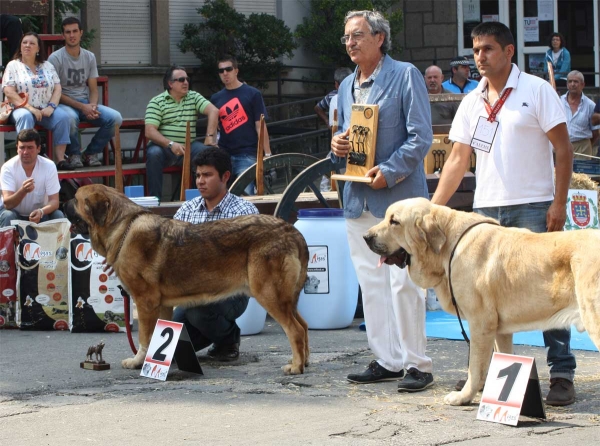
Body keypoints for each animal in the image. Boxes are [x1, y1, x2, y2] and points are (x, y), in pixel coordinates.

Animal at [65, 183, 310, 374]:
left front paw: (138, 361)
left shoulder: (145, 302)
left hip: (269, 294)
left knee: (295, 330)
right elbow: (156, 334)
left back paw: (296, 367)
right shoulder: (161, 305)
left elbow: (145, 337)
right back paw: (303, 361)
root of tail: (291, 231)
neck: (123, 226)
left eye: (75, 199)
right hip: (287, 299)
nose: (62, 202)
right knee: (304, 326)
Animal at [360, 197, 600, 406]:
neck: (449, 245)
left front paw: (463, 396)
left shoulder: (480, 324)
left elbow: (475, 367)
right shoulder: (500, 330)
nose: (366, 236)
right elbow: (501, 357)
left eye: (394, 221)